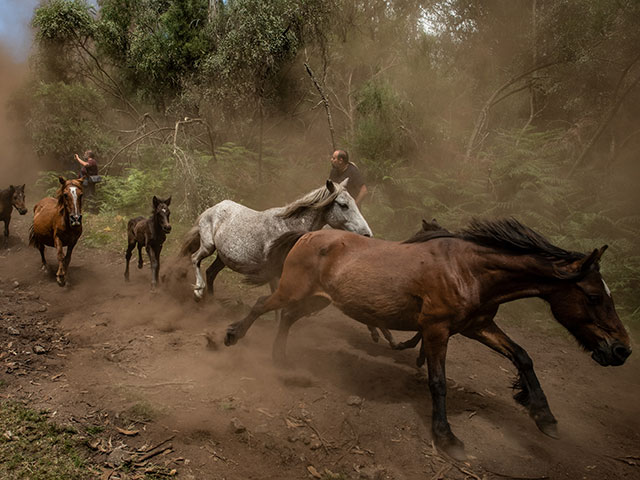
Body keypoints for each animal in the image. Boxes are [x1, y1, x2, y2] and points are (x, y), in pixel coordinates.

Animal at [182, 180, 372, 300]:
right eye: (343, 205)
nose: (367, 234)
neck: (288, 227)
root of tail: (212, 208)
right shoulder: (274, 273)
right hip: (208, 246)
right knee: (195, 259)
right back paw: (198, 292)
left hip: (223, 257)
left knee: (210, 273)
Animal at [224, 218, 632, 462]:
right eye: (594, 296)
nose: (622, 350)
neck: (469, 271)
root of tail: (309, 234)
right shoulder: (436, 330)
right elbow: (438, 383)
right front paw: (447, 438)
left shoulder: (477, 325)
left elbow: (522, 355)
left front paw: (543, 416)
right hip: (294, 290)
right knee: (263, 306)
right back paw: (232, 336)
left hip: (316, 300)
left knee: (287, 318)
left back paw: (280, 360)